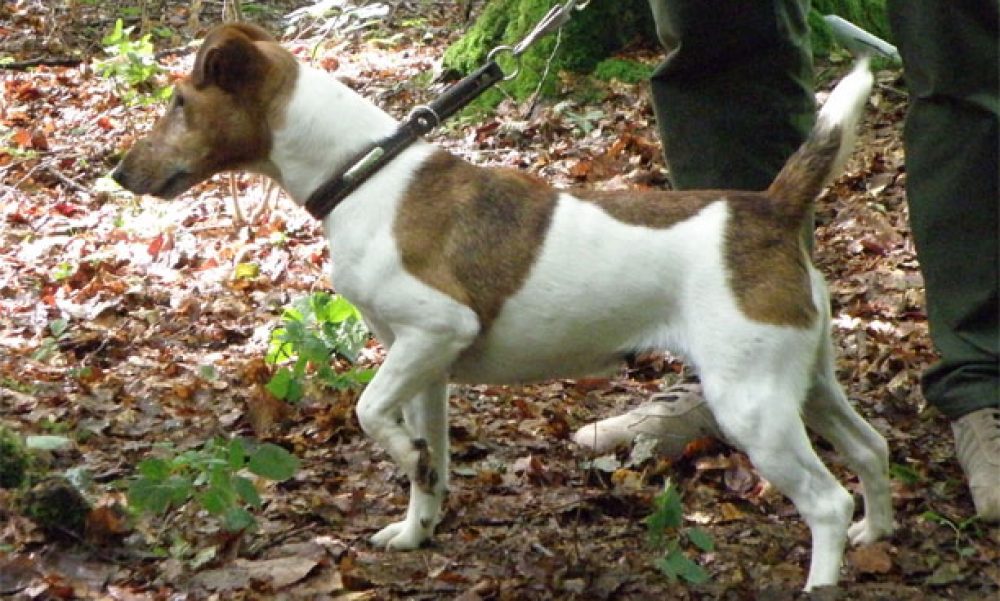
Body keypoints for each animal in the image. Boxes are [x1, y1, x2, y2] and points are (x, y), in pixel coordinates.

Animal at [113, 24, 896, 592]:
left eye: (179, 104)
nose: (119, 172)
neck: (365, 173)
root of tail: (770, 208)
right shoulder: (426, 365)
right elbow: (429, 461)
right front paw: (417, 528)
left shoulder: (436, 328)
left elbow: (369, 412)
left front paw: (401, 456)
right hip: (805, 382)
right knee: (871, 447)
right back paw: (876, 534)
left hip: (750, 404)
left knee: (827, 501)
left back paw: (824, 577)